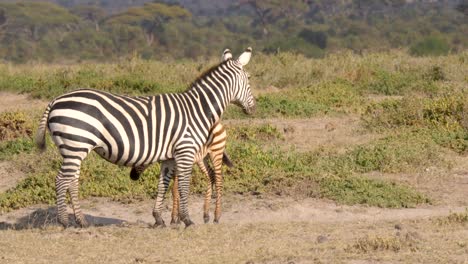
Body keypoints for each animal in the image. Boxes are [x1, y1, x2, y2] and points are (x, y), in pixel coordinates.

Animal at [35, 47, 256, 227]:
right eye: (249, 79)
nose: (254, 108)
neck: (198, 108)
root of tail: (55, 100)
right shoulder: (185, 150)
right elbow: (184, 185)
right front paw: (187, 220)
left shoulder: (170, 156)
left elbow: (163, 184)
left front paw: (159, 219)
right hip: (75, 144)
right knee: (61, 180)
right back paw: (65, 222)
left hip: (74, 148)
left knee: (71, 181)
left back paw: (81, 221)